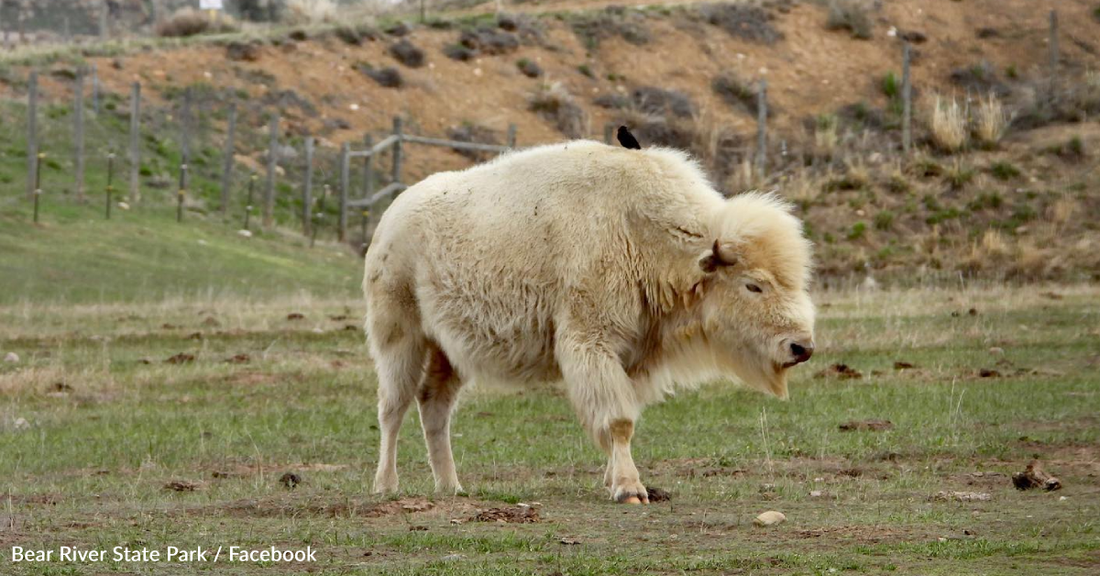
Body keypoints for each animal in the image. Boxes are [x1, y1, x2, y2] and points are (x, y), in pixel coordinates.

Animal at [363, 137, 815, 503]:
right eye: (754, 285)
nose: (802, 347)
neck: (641, 230)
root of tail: (390, 218)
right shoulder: (592, 342)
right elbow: (618, 419)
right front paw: (630, 489)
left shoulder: (632, 358)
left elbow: (624, 418)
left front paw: (614, 480)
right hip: (400, 336)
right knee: (393, 407)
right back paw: (386, 486)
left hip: (449, 351)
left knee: (434, 405)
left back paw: (451, 486)